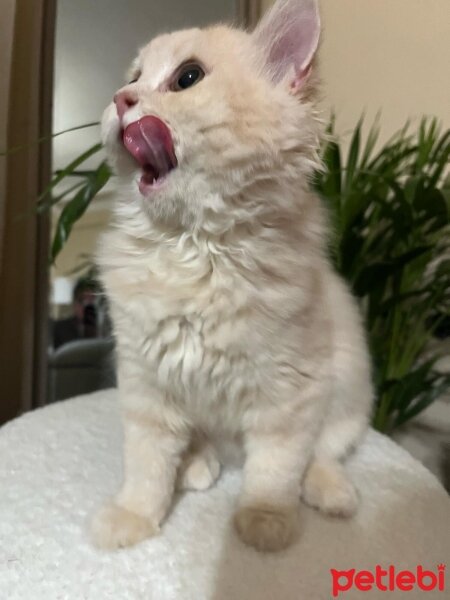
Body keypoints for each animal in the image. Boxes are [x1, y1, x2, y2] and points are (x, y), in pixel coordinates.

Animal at [90, 0, 372, 552]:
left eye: (187, 78)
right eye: (133, 77)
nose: (120, 99)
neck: (195, 249)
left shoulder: (290, 393)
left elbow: (275, 469)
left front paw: (264, 522)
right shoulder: (145, 384)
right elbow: (147, 469)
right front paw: (133, 518)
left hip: (349, 387)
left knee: (324, 452)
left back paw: (331, 494)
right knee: (202, 445)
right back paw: (198, 466)